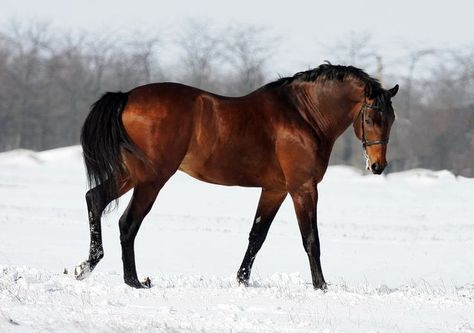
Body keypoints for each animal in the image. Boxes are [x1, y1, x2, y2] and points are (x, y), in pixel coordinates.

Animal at [76, 63, 398, 288]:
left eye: (391, 119)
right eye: (372, 117)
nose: (378, 166)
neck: (303, 116)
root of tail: (127, 97)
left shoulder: (275, 190)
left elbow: (257, 236)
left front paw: (242, 280)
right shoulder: (303, 188)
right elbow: (311, 239)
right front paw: (321, 286)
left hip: (132, 174)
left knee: (95, 198)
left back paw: (87, 265)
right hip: (151, 180)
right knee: (128, 223)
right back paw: (134, 281)